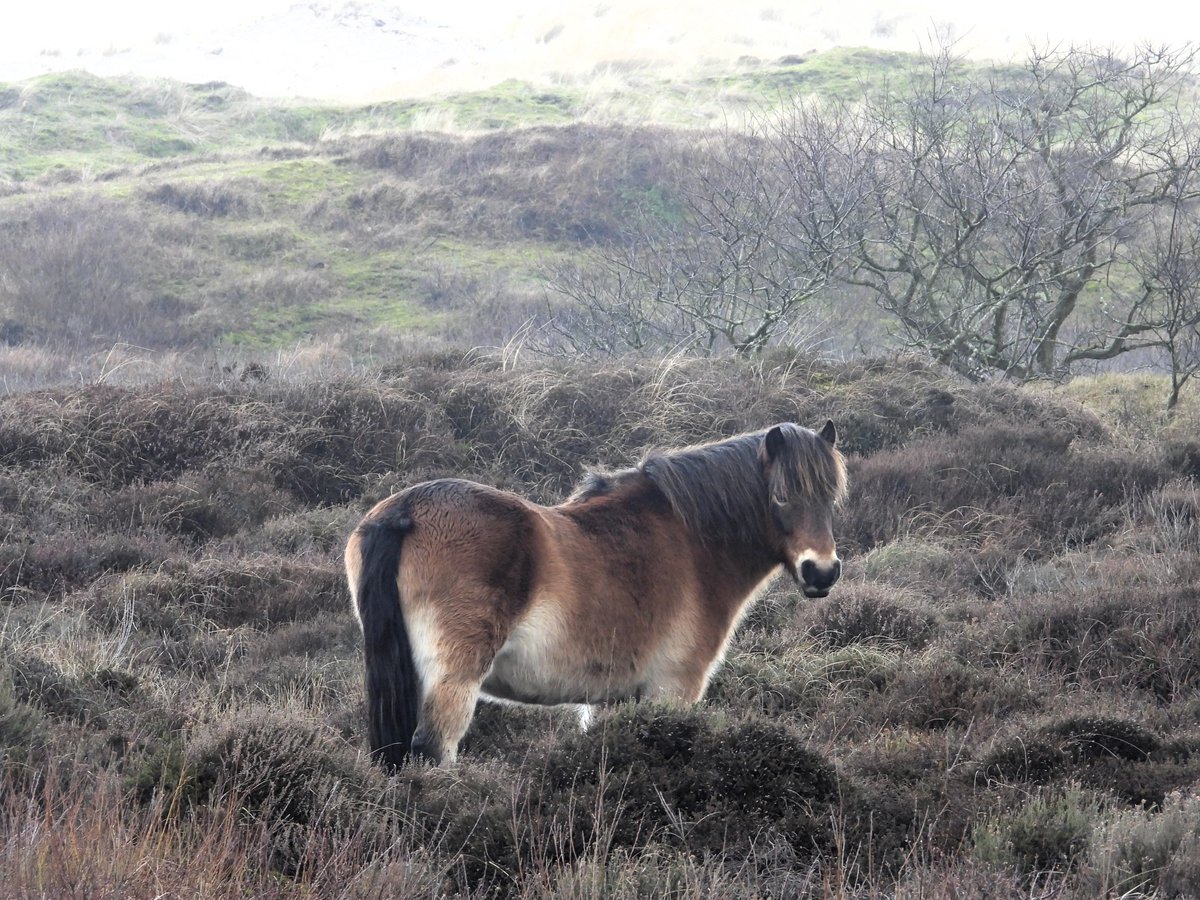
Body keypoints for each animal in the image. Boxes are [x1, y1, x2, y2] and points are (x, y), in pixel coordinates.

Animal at [345, 420, 847, 768]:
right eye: (780, 498)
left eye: (831, 498)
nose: (821, 571)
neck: (690, 541)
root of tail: (405, 511)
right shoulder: (673, 688)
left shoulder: (612, 699)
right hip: (453, 681)